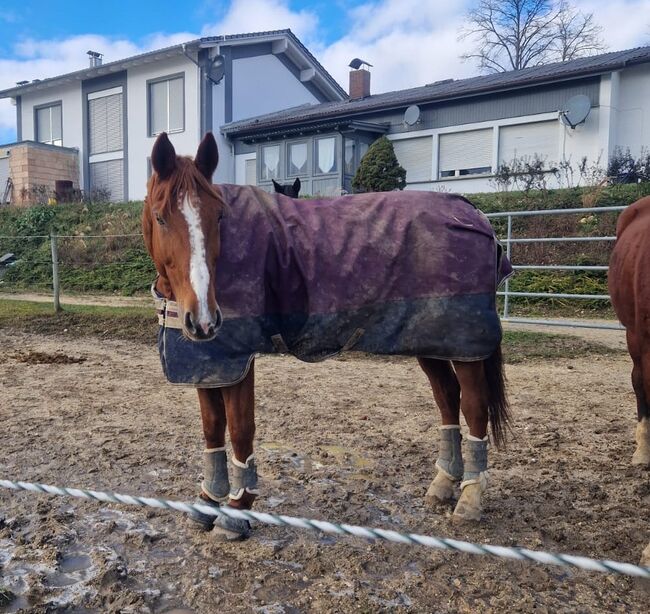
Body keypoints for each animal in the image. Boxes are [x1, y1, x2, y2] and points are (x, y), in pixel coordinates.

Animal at [144, 134, 508, 544]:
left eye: (218, 216)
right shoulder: (208, 363)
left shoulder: (237, 359)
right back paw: (444, 484)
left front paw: (236, 512)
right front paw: (209, 502)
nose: (204, 319)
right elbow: (211, 429)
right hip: (430, 340)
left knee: (474, 407)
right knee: (448, 399)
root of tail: (473, 214)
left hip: (465, 346)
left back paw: (470, 499)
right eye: (161, 216)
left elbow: (239, 428)